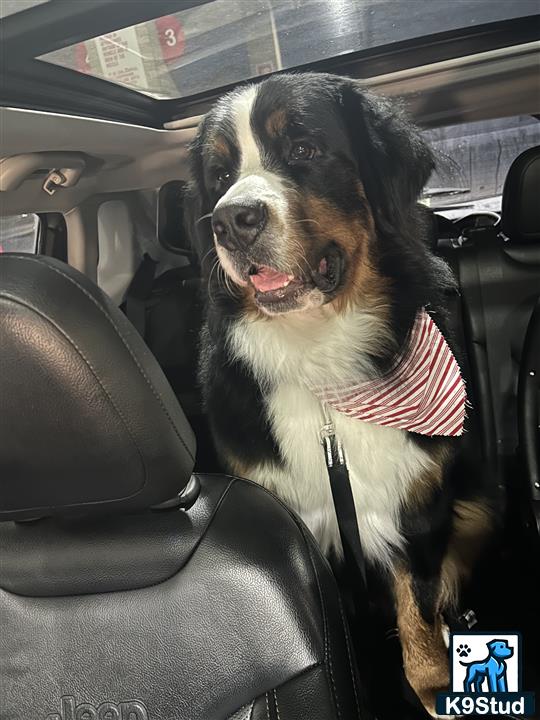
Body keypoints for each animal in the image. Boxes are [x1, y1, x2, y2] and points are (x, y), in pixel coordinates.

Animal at [187, 71, 498, 716]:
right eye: (220, 176)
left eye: (304, 149)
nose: (231, 220)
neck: (321, 359)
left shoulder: (418, 505)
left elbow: (417, 604)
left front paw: (432, 683)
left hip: (478, 500)